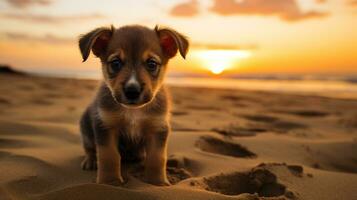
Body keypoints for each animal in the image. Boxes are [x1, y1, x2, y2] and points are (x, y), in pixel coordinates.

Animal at [78, 25, 189, 186]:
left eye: (151, 64)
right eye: (115, 63)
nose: (132, 91)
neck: (133, 111)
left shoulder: (158, 128)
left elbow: (157, 158)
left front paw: (157, 182)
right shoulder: (105, 126)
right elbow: (108, 156)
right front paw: (109, 181)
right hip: (85, 126)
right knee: (90, 148)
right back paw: (90, 160)